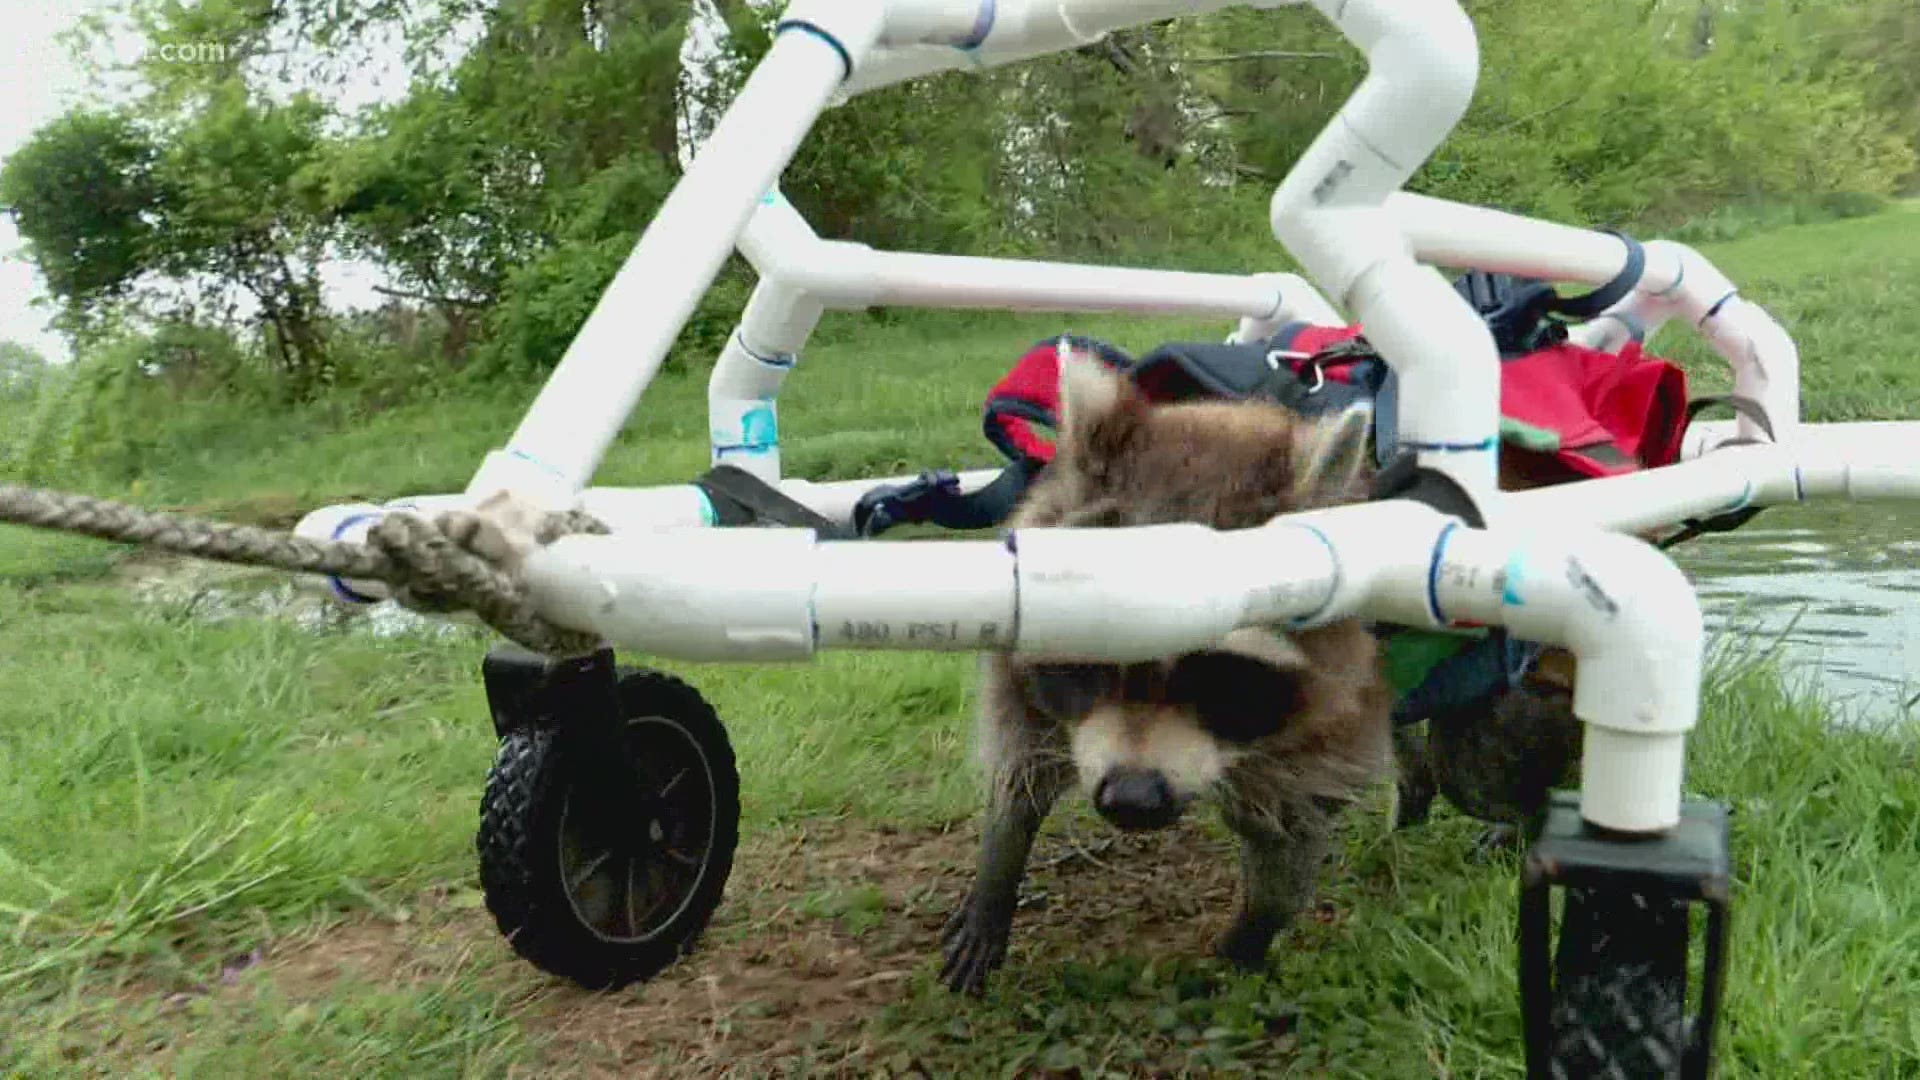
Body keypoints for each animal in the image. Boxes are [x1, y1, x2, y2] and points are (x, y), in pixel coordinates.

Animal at [936, 343, 1390, 991]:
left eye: (1224, 680)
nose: (1132, 797)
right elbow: (1022, 759)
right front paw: (1000, 860)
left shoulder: (1341, 692)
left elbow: (1292, 817)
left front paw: (1258, 923)